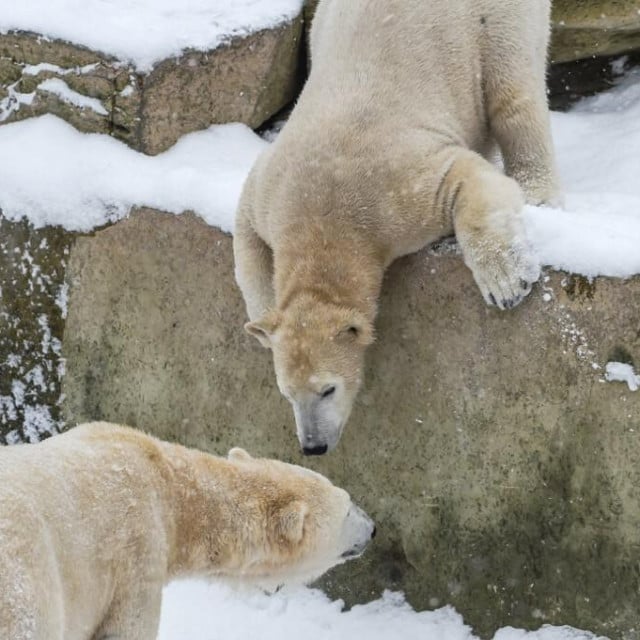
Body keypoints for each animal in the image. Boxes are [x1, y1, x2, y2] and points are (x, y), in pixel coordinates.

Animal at [0, 420, 376, 640]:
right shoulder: (137, 555)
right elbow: (126, 629)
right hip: (30, 592)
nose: (373, 528)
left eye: (348, 498)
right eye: (348, 508)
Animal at [234, 0, 560, 456]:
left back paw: (539, 194)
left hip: (497, 19)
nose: (313, 446)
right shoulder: (270, 190)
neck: (319, 220)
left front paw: (507, 284)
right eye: (287, 393)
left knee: (514, 88)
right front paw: (265, 325)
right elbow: (246, 238)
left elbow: (462, 175)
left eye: (328, 390)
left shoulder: (391, 192)